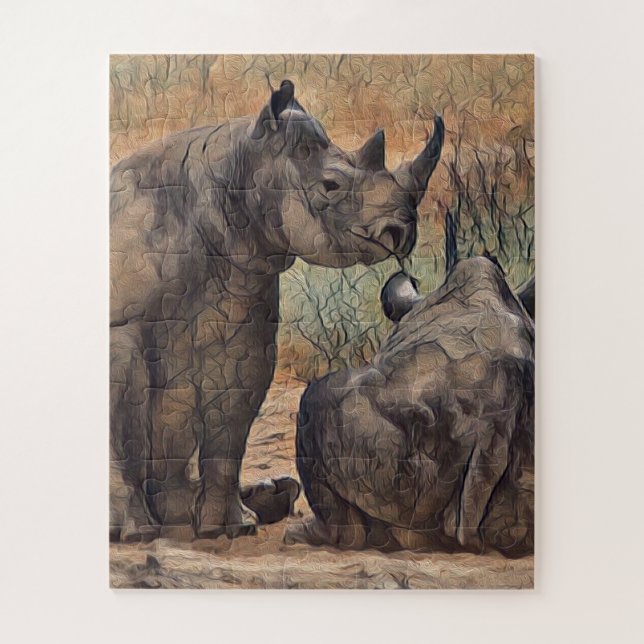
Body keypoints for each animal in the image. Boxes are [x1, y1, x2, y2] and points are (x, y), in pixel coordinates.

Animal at [110, 80, 445, 541]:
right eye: (330, 186)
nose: (402, 230)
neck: (233, 172)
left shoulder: (244, 308)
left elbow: (231, 419)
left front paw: (229, 528)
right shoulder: (120, 326)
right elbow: (123, 424)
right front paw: (136, 532)